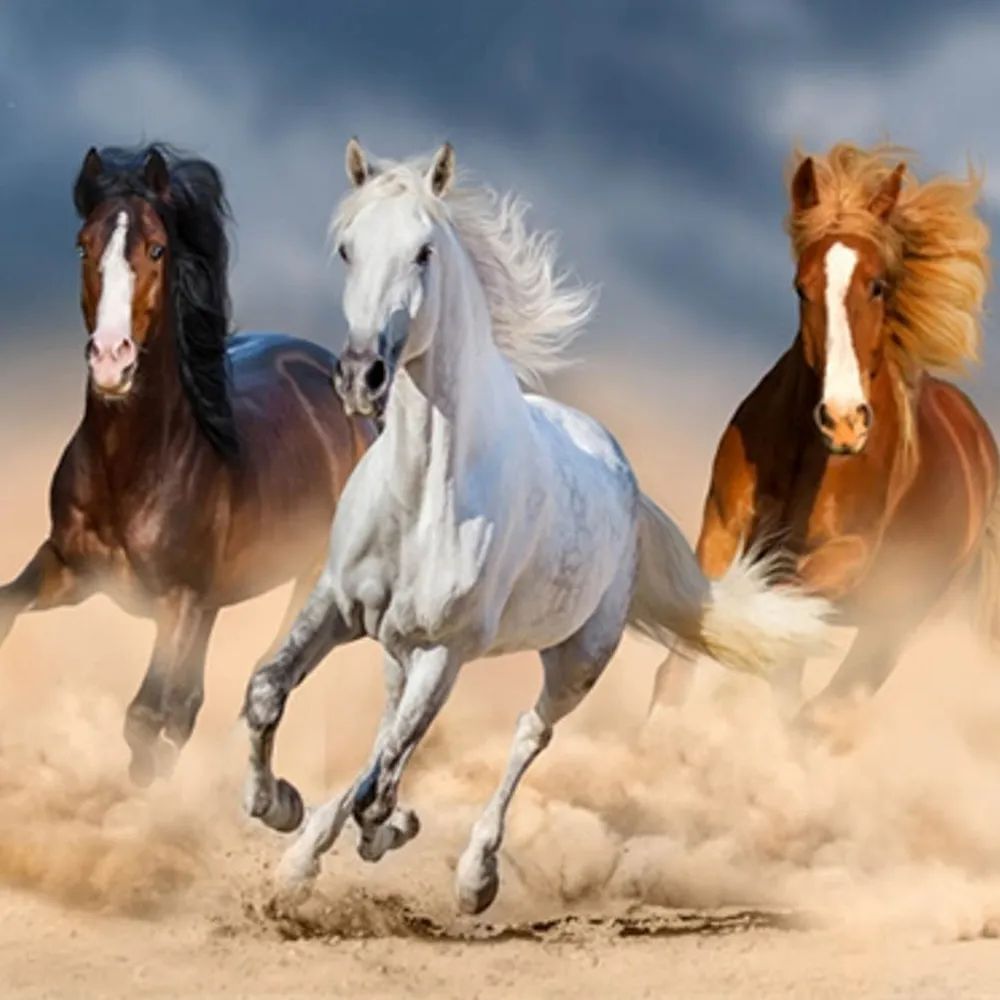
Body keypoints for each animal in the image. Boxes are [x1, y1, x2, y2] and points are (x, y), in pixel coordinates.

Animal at [0, 144, 373, 785]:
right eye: (83, 245)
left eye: (156, 248)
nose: (111, 359)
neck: (132, 467)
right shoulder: (69, 569)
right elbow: (6, 608)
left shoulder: (178, 600)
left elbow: (144, 717)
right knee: (192, 703)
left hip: (305, 579)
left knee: (258, 678)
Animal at [241, 139, 832, 914]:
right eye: (347, 248)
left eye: (424, 251)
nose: (361, 376)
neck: (423, 496)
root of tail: (623, 475)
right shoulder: (338, 606)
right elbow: (269, 694)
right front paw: (277, 805)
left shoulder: (447, 650)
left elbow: (384, 775)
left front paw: (357, 837)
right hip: (399, 646)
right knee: (391, 729)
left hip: (577, 658)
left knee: (526, 734)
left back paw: (474, 877)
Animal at [649, 143, 997, 721]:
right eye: (802, 288)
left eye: (877, 285)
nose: (843, 420)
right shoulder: (721, 528)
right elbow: (686, 656)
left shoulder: (844, 558)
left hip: (895, 626)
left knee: (827, 702)